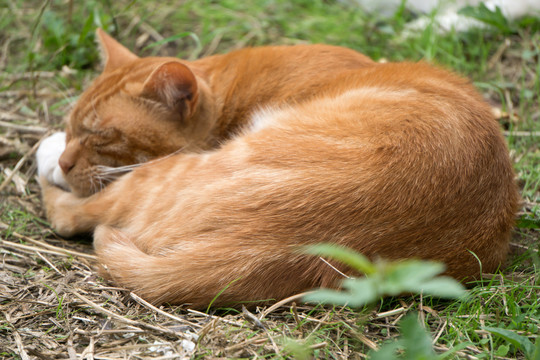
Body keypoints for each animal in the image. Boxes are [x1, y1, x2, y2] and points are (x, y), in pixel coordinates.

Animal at [38, 29, 520, 308]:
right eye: (73, 124)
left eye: (101, 136)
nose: (65, 159)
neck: (230, 87)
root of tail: (281, 249)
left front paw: (51, 159)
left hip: (168, 176)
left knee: (72, 214)